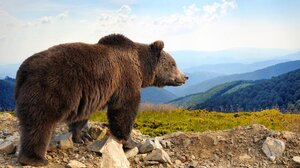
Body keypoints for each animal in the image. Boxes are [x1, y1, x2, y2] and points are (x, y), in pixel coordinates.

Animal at [14, 33, 188, 166]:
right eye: (173, 64)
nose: (185, 77)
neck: (141, 67)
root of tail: (23, 70)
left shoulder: (88, 95)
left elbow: (82, 115)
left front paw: (81, 136)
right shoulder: (125, 79)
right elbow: (124, 108)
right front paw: (129, 142)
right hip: (50, 88)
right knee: (39, 123)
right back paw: (35, 158)